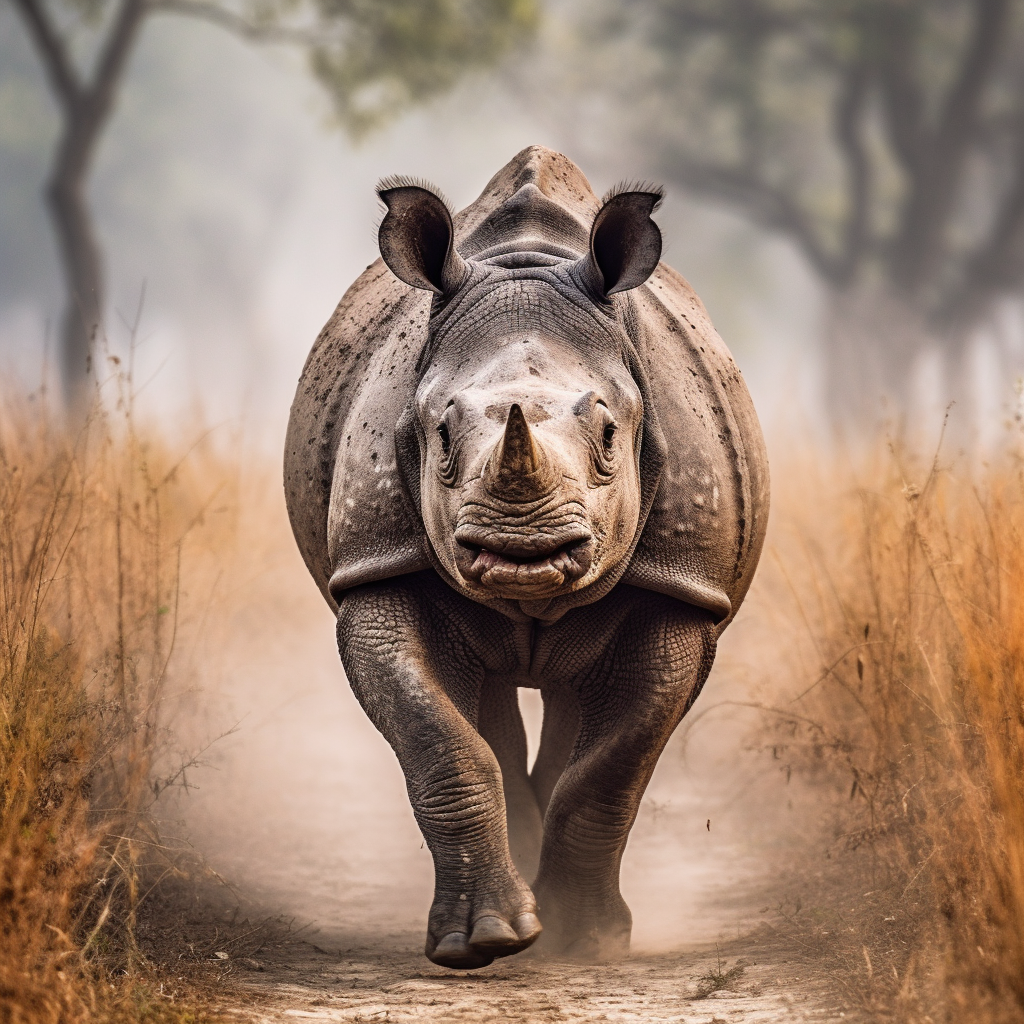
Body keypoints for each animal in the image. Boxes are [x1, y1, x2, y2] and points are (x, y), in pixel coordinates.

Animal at [284, 146, 768, 969]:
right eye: (441, 437)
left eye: (609, 436)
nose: (523, 542)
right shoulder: (379, 564)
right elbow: (440, 741)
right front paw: (481, 943)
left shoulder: (680, 584)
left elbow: (614, 764)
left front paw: (584, 942)